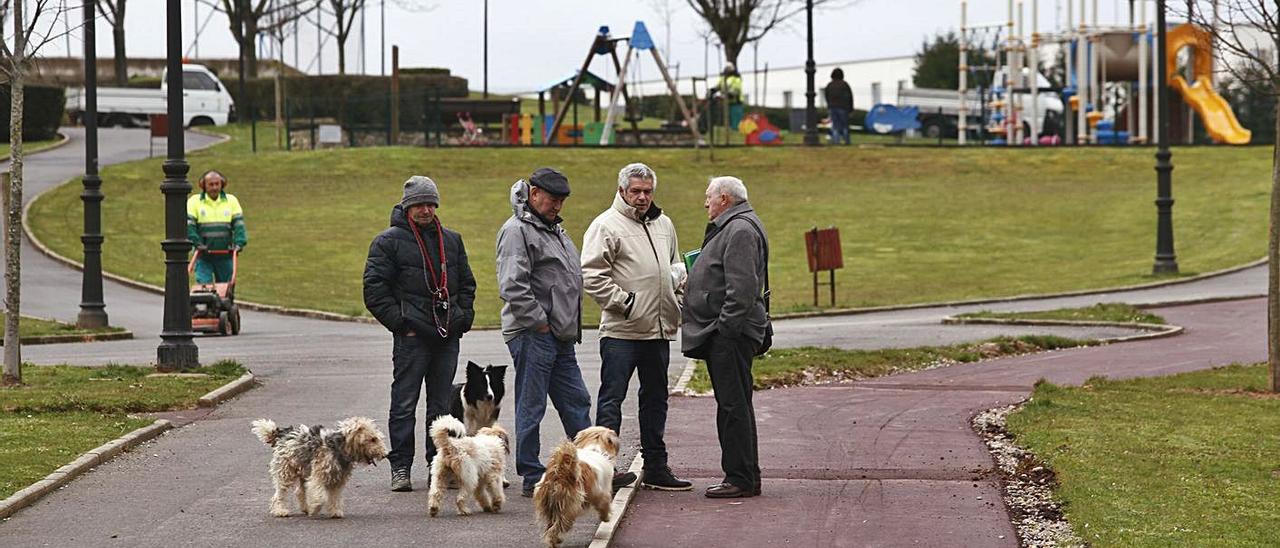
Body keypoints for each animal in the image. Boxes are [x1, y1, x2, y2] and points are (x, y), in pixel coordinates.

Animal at [249, 417, 386, 519]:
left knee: (299, 492)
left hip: (303, 471)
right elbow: (320, 496)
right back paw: (280, 511)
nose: (385, 454)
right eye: (373, 439)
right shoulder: (317, 478)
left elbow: (334, 497)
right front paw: (314, 508)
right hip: (286, 472)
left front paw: (334, 511)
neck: (337, 447)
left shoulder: (337, 480)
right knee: (279, 495)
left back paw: (305, 508)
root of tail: (283, 433)